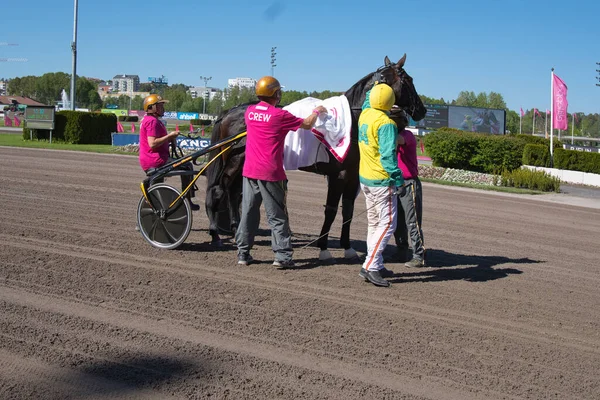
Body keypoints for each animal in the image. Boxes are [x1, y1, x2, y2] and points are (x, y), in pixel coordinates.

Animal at [206, 54, 426, 262]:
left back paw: (236, 229)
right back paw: (216, 234)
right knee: (219, 189)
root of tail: (229, 111)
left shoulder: (352, 175)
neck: (351, 121)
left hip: (243, 161)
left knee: (233, 192)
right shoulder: (338, 175)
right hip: (233, 159)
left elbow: (348, 211)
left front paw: (347, 247)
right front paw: (323, 248)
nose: (422, 110)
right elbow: (331, 210)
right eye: (409, 80)